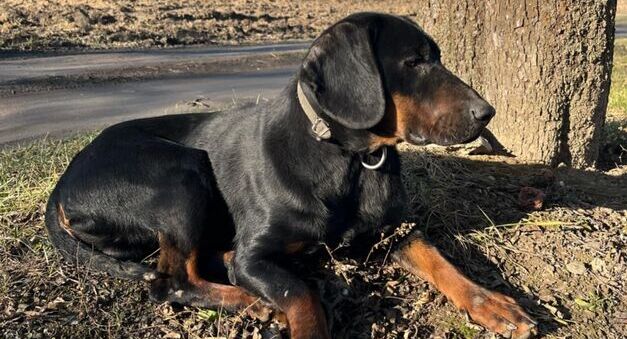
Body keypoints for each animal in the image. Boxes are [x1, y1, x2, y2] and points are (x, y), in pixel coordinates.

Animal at [45, 12, 536, 339]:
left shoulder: (396, 229)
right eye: (413, 62)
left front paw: (495, 305)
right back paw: (250, 300)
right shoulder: (258, 254)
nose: (487, 113)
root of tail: (63, 184)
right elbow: (301, 295)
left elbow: (442, 261)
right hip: (181, 172)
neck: (350, 160)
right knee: (172, 282)